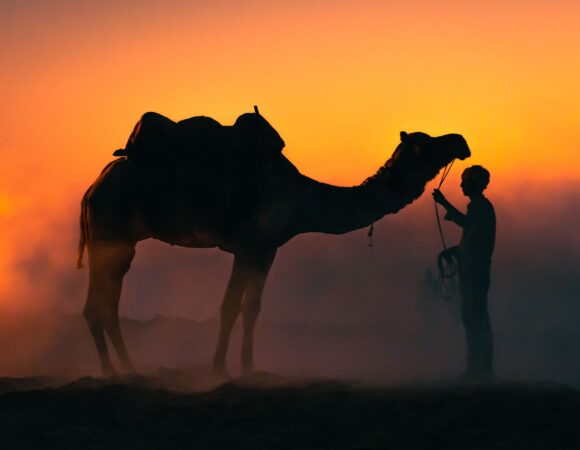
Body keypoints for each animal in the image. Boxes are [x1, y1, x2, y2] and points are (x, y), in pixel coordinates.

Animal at [76, 110, 472, 376]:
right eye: (424, 143)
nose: (461, 141)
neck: (299, 196)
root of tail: (92, 189)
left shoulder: (267, 250)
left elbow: (251, 309)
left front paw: (248, 368)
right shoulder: (249, 246)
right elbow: (229, 307)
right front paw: (217, 369)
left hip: (118, 243)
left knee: (104, 304)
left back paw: (126, 368)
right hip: (110, 234)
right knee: (99, 305)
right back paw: (114, 371)